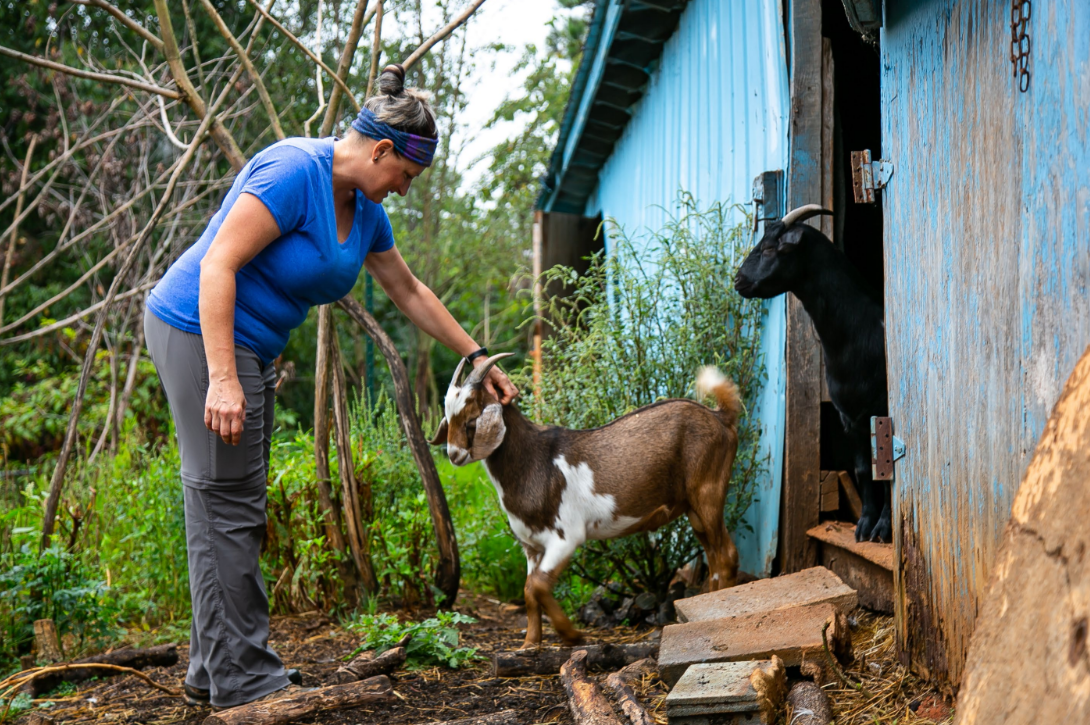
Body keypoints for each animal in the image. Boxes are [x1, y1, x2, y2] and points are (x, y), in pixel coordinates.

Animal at [429, 353, 745, 645]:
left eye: (471, 418)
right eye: (448, 416)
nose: (454, 455)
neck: (532, 459)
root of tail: (721, 417)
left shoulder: (566, 536)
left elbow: (539, 586)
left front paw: (572, 635)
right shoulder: (531, 545)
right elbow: (528, 591)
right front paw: (530, 643)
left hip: (708, 491)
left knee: (727, 555)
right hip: (694, 508)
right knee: (714, 557)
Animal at [736, 201, 889, 536]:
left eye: (770, 248)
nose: (738, 280)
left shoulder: (881, 408)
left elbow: (888, 470)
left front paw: (883, 528)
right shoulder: (849, 416)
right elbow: (863, 469)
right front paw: (864, 525)